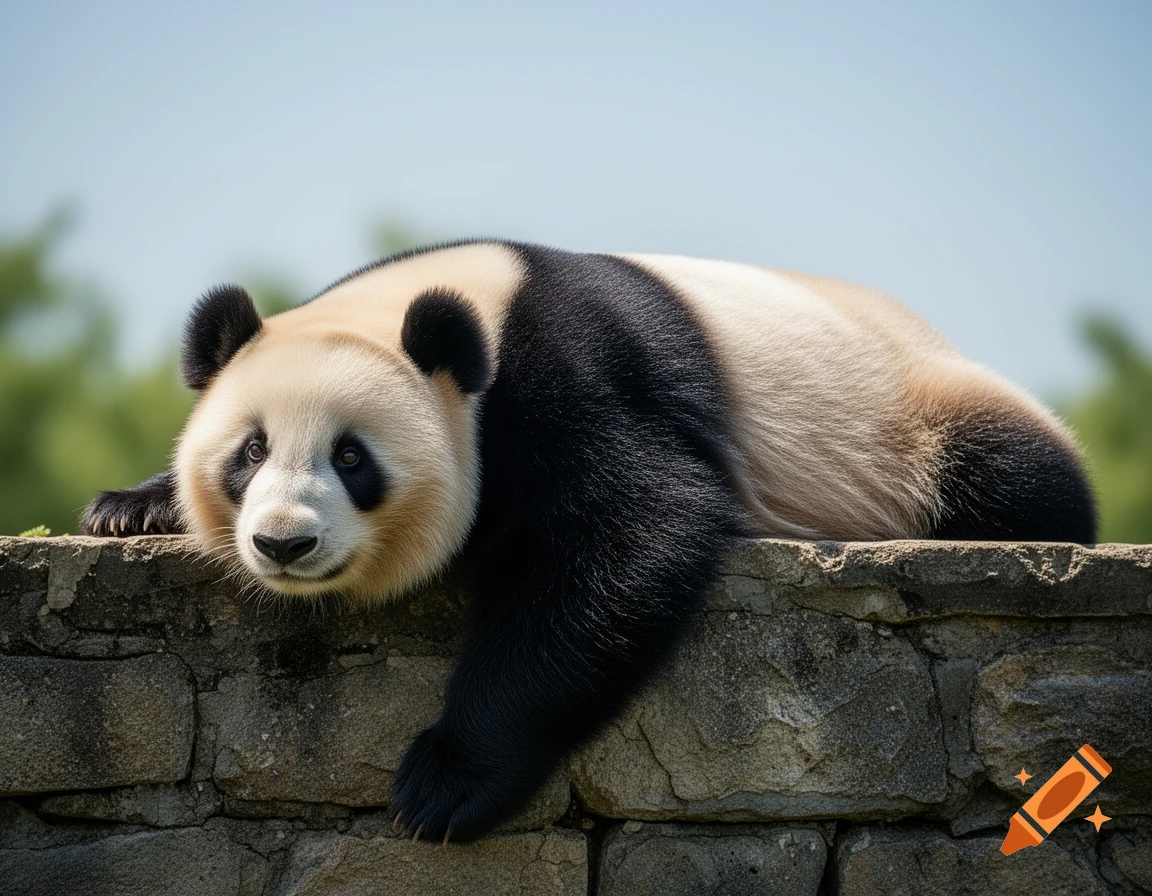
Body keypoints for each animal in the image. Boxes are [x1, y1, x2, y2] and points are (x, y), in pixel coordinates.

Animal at [83, 240, 1096, 842]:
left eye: (352, 457)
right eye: (250, 451)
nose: (284, 544)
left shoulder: (572, 377)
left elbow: (629, 538)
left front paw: (443, 785)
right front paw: (128, 509)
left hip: (913, 416)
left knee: (1013, 478)